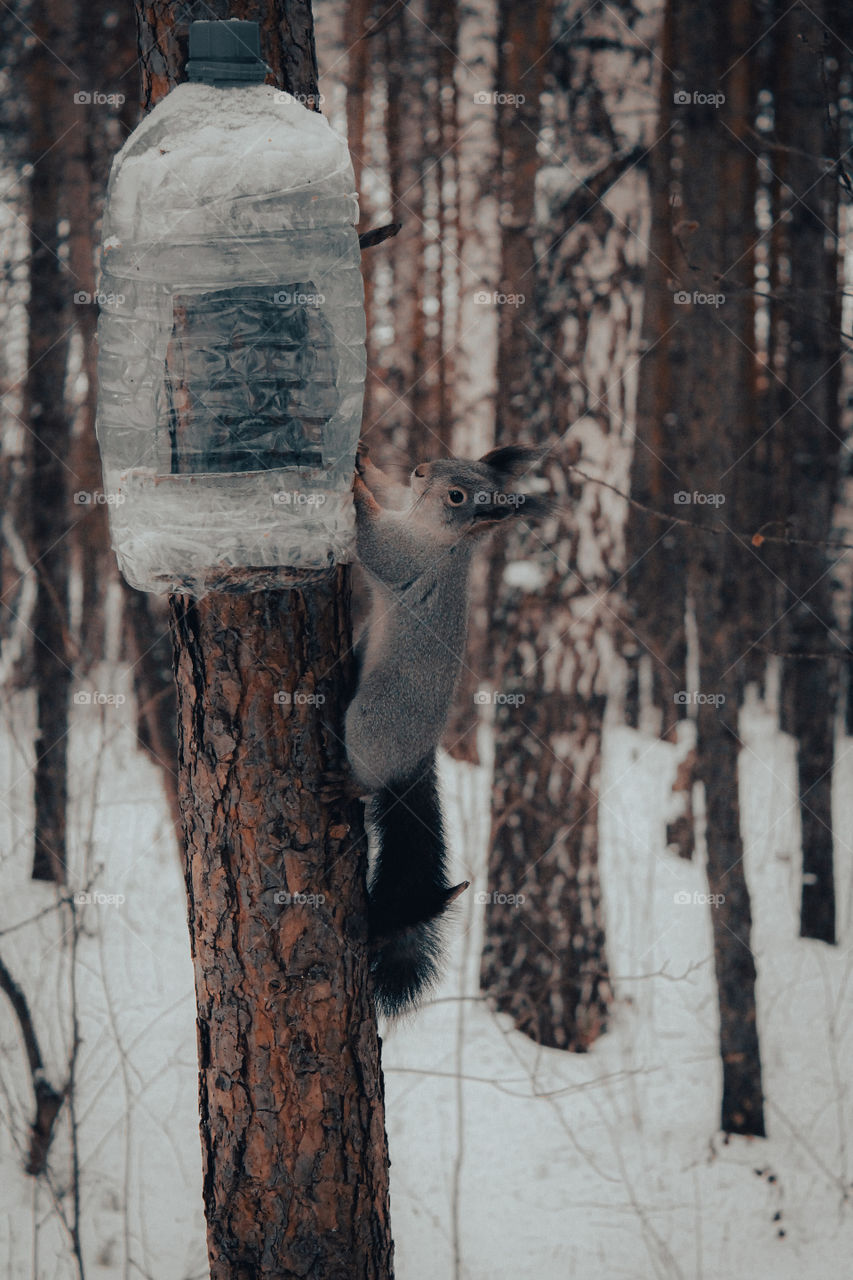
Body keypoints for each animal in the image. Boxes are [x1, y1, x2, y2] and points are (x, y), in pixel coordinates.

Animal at [345, 441, 551, 1016]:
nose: (419, 469)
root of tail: (418, 755)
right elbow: (388, 495)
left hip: (372, 721)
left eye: (459, 496)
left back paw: (345, 784)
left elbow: (373, 541)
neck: (433, 531)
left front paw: (355, 489)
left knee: (365, 777)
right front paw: (366, 462)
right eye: (453, 462)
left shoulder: (407, 557)